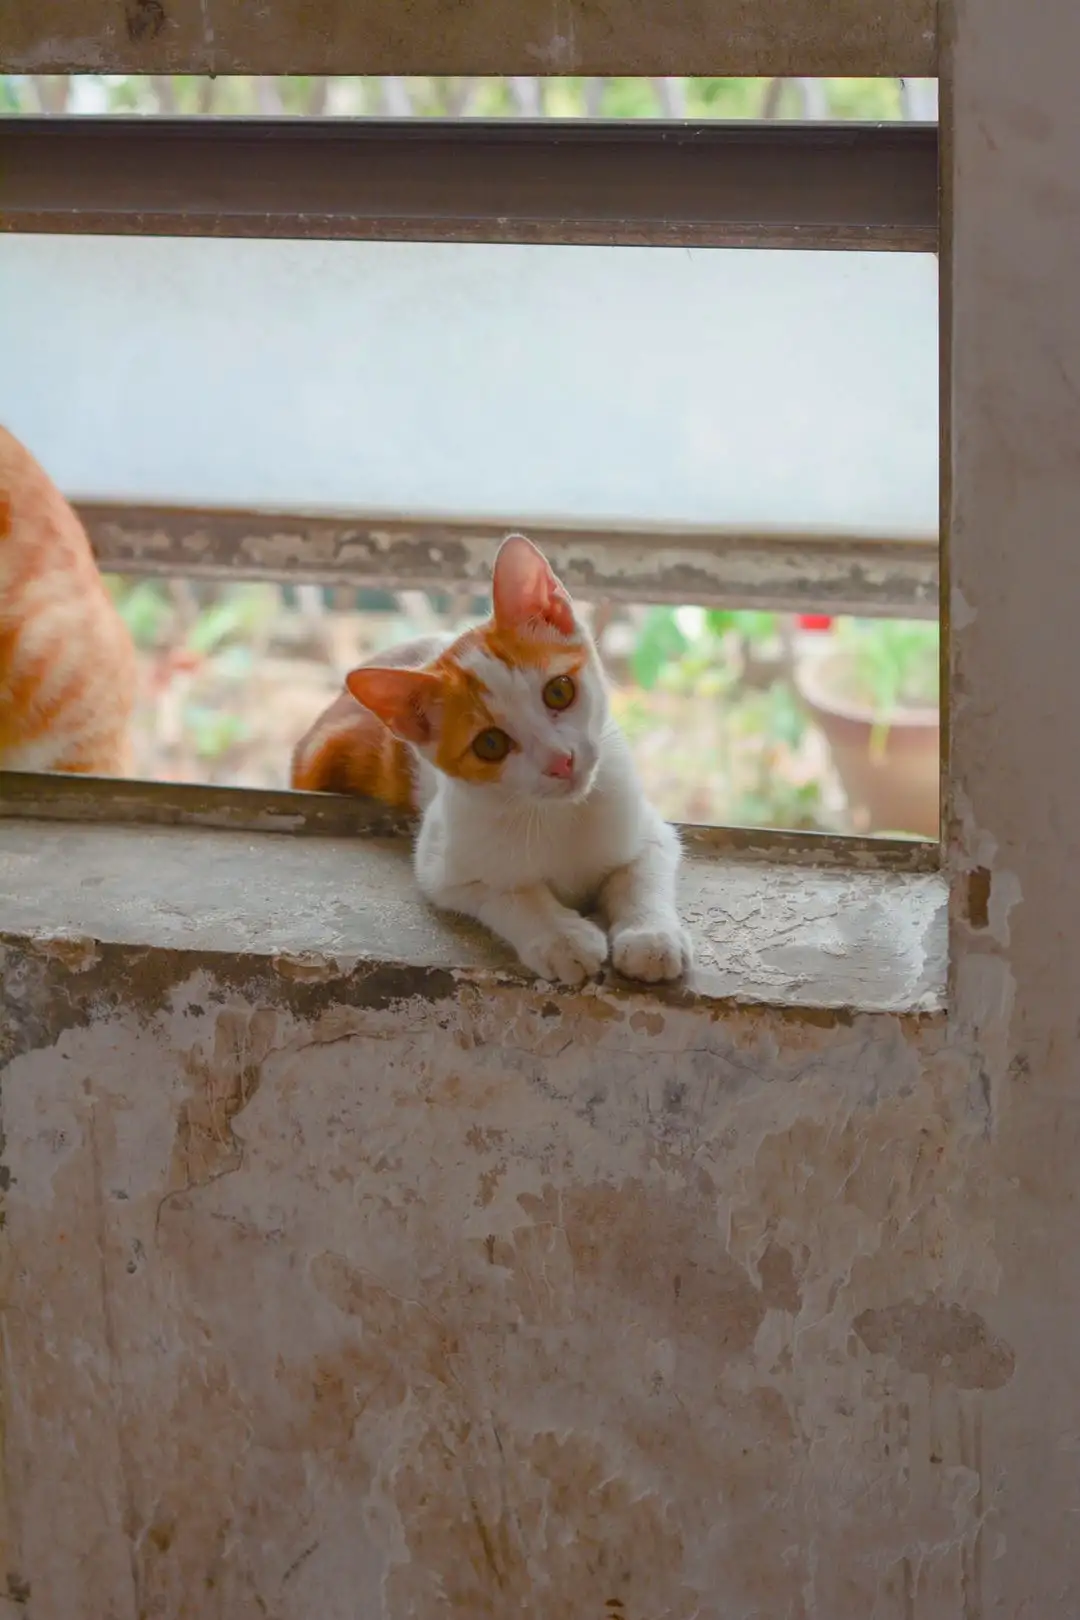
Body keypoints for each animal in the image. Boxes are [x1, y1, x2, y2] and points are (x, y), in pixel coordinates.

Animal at [293, 537, 693, 978]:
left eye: (559, 691)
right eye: (490, 745)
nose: (561, 761)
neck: (557, 814)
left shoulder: (651, 829)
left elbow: (640, 873)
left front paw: (649, 936)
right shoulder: (443, 867)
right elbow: (507, 893)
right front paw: (561, 937)